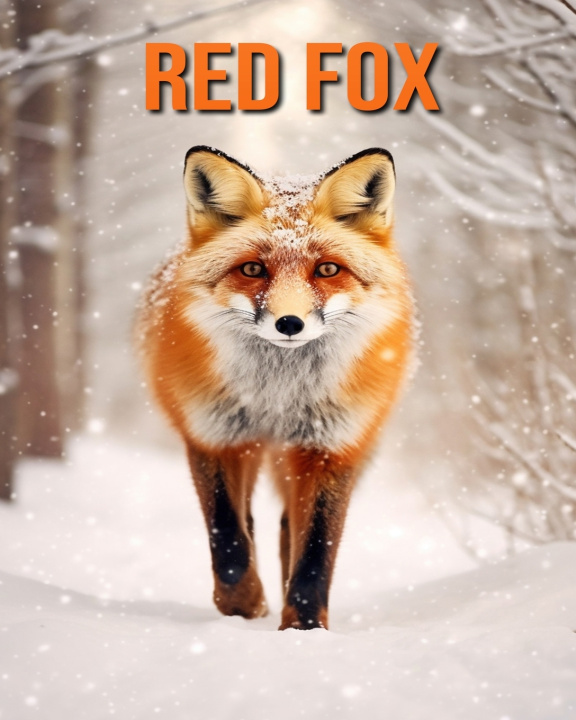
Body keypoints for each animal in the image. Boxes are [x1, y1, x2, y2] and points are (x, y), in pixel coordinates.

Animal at [135, 146, 414, 630]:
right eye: (252, 269)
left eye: (327, 269)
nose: (289, 323)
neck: (278, 398)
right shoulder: (214, 435)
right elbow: (228, 538)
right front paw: (242, 606)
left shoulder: (331, 448)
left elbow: (315, 552)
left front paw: (304, 627)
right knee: (250, 523)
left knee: (288, 530)